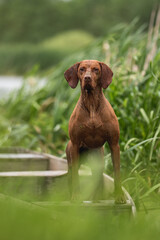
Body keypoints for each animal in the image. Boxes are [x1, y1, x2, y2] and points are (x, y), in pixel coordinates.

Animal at [64, 59, 125, 202]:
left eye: (96, 69)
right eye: (81, 69)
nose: (87, 78)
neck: (91, 104)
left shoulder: (114, 144)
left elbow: (117, 172)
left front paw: (119, 196)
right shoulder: (75, 145)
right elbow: (76, 177)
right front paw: (76, 197)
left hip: (98, 163)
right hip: (71, 160)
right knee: (71, 176)